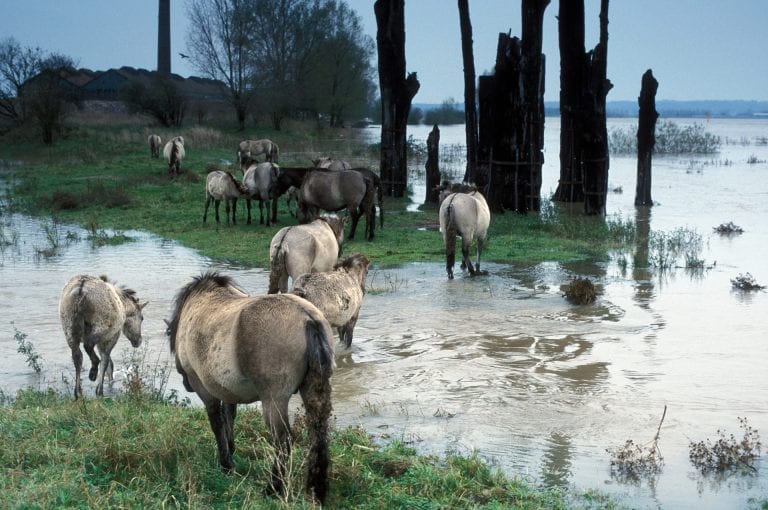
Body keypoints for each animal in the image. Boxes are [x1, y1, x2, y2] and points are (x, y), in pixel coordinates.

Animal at [166, 270, 334, 502]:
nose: (185, 384)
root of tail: (308, 319)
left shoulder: (204, 387)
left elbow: (216, 423)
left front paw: (226, 465)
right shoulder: (226, 389)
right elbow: (229, 418)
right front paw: (231, 452)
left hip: (273, 399)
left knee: (283, 441)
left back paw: (273, 488)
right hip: (313, 392)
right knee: (318, 436)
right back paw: (316, 490)